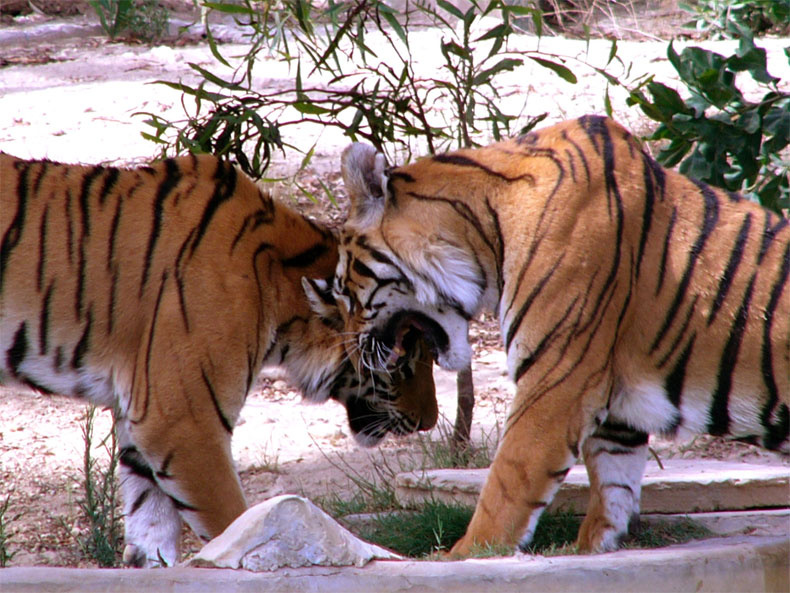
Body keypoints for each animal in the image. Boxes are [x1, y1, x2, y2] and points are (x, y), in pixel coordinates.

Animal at [0, 152, 437, 568]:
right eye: (401, 361)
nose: (427, 423)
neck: (278, 291)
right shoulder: (183, 423)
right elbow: (235, 526)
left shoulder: (140, 424)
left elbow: (152, 535)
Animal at [315, 115, 790, 557]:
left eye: (343, 289)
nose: (352, 354)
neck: (483, 235)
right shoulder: (618, 412)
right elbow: (612, 488)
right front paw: (589, 549)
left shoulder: (556, 381)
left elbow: (507, 484)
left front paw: (462, 555)